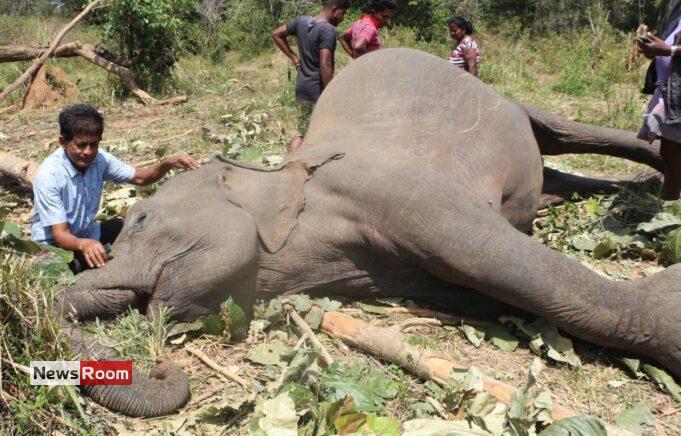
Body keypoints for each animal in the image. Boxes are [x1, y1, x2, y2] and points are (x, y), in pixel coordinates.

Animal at [57, 48, 675, 418]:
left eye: (141, 219)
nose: (159, 360)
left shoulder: (384, 185)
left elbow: (492, 255)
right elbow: (486, 289)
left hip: (496, 94)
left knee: (559, 130)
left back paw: (663, 175)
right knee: (553, 173)